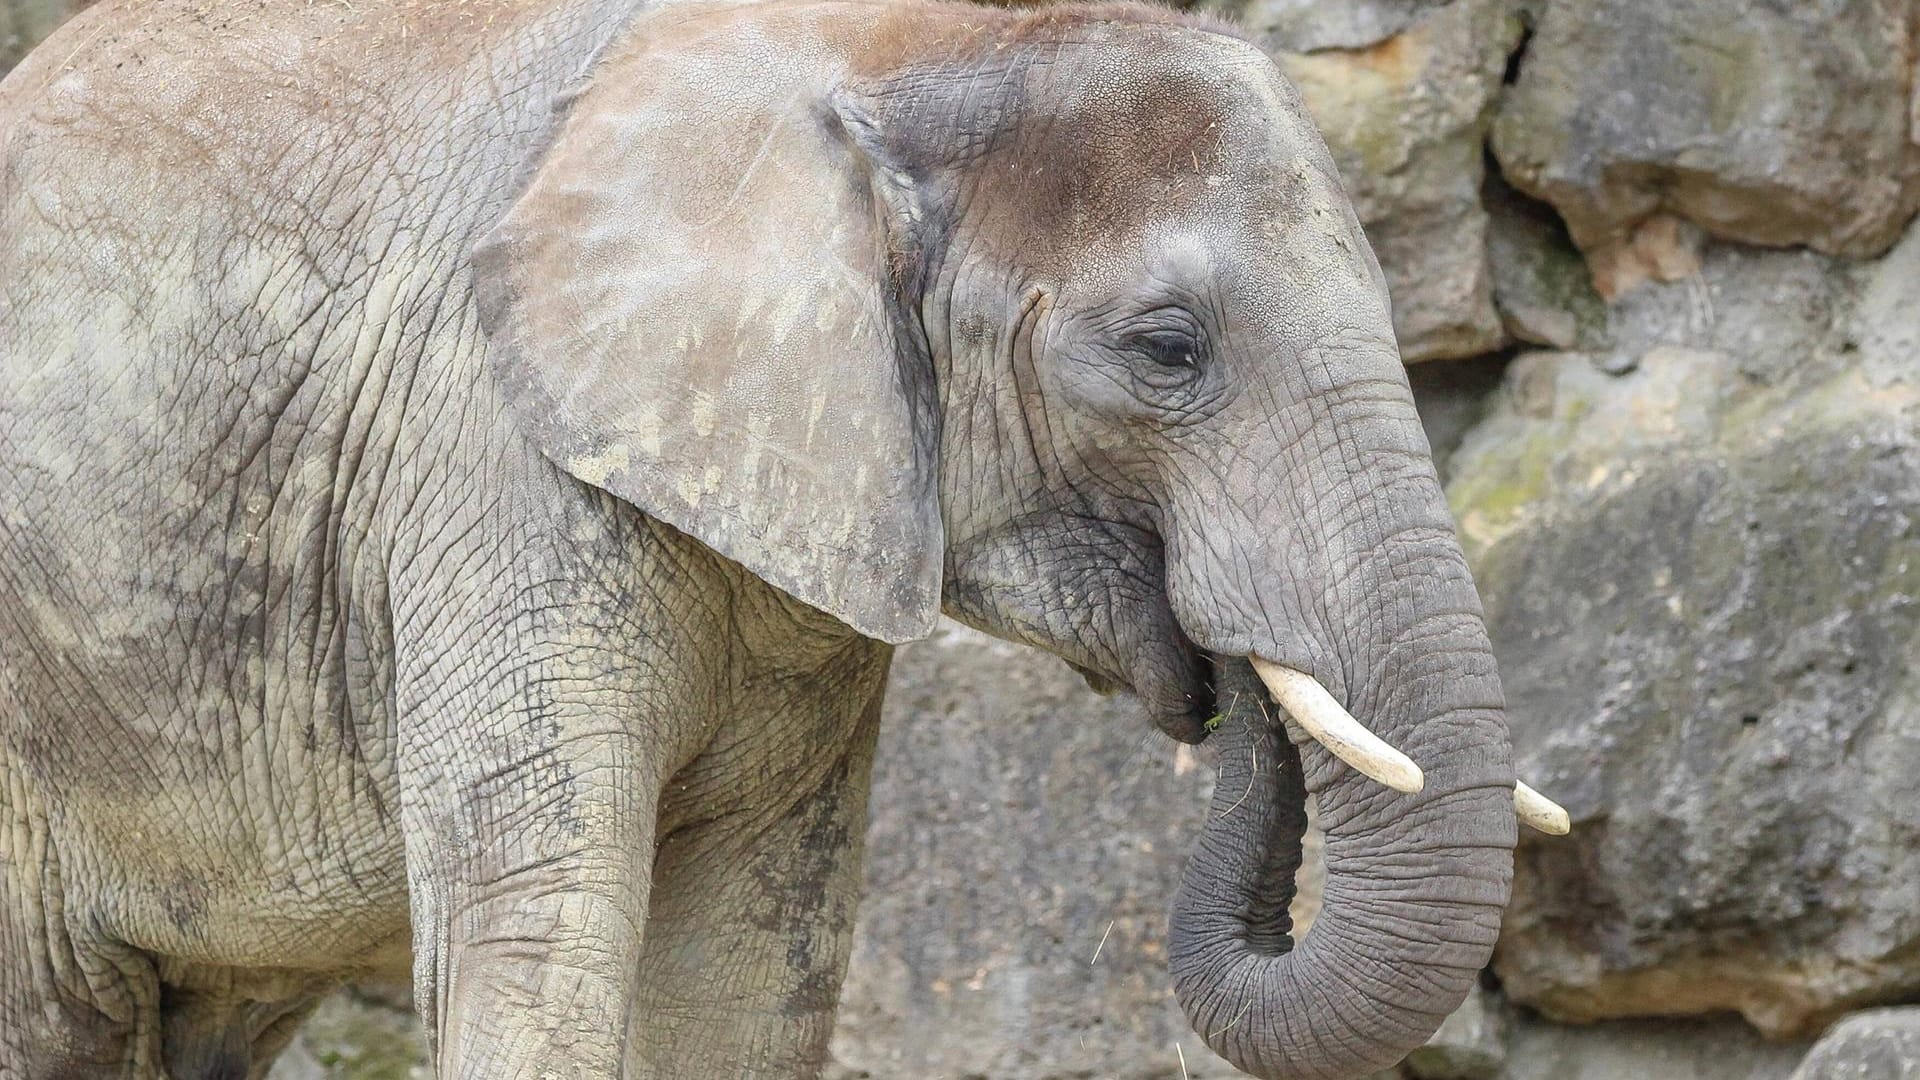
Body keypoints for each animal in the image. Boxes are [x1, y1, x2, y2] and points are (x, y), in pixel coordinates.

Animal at [0, 0, 1559, 1068]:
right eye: (1168, 349)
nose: (1222, 678)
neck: (897, 51)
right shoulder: (488, 465)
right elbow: (543, 936)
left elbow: (748, 978)